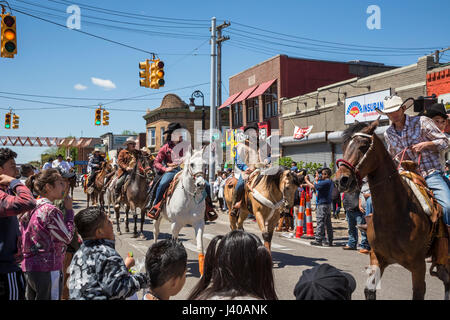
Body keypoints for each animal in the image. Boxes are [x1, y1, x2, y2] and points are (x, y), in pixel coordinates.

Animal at [152, 148, 207, 276]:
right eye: (192, 164)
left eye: (205, 164)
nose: (201, 184)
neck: (189, 197)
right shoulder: (175, 225)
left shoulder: (199, 224)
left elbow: (200, 247)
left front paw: (202, 273)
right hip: (157, 217)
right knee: (156, 232)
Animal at [336, 120, 448, 300]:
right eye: (344, 146)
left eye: (363, 146)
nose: (341, 180)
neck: (394, 215)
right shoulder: (377, 257)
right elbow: (369, 290)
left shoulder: (418, 265)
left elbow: (418, 292)